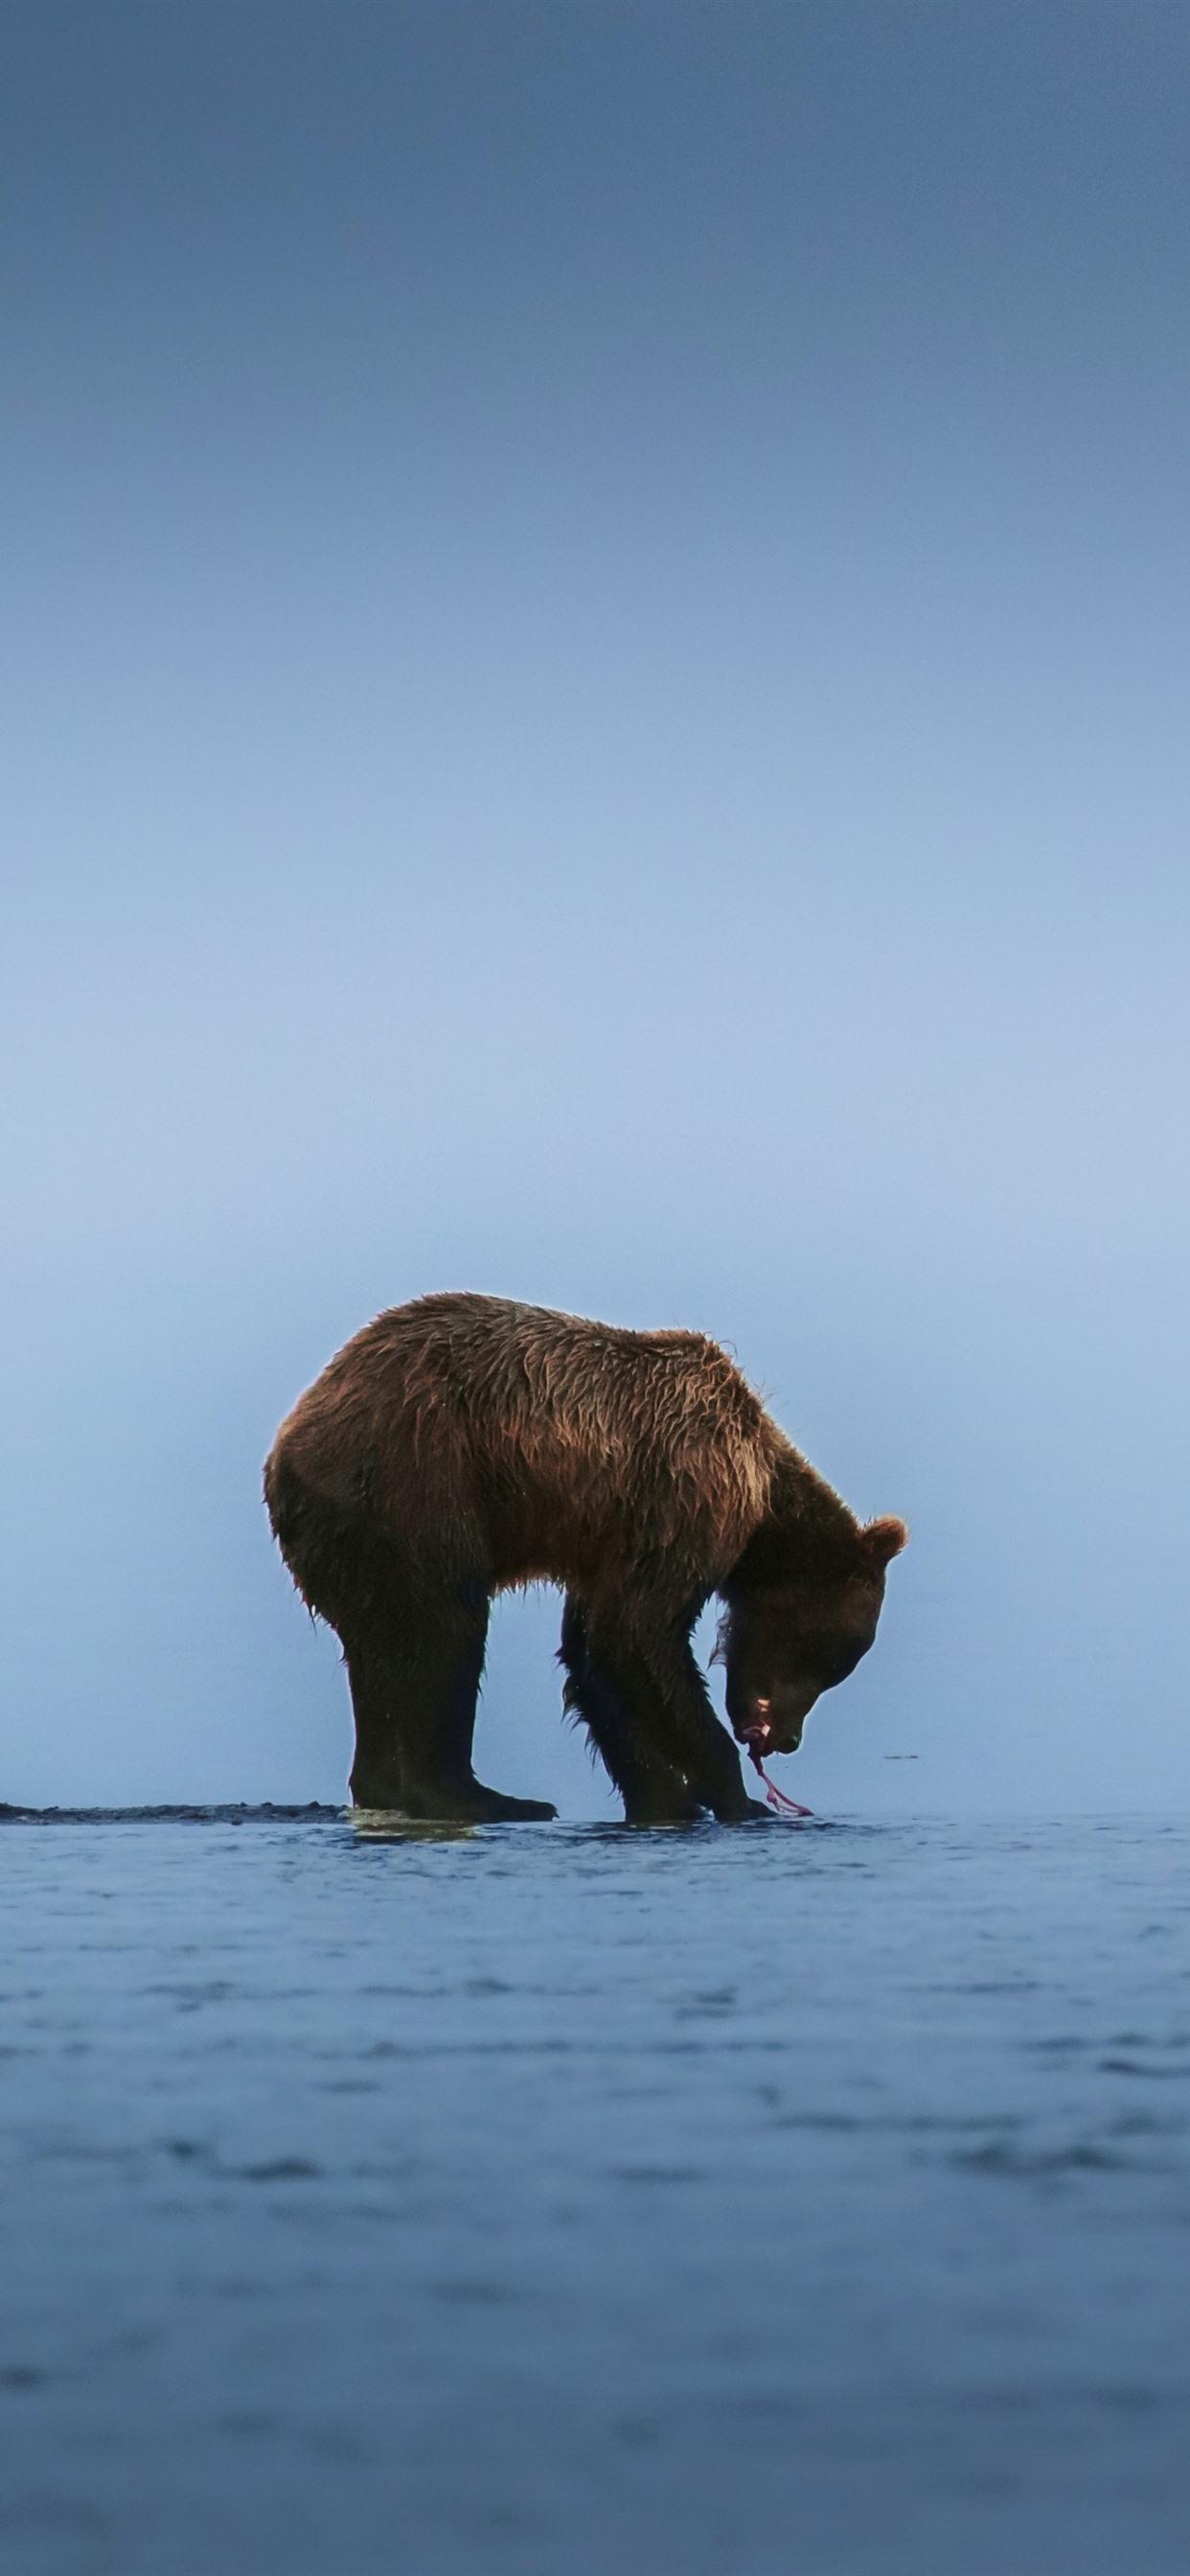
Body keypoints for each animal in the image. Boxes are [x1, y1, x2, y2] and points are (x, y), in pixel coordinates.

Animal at [263, 1292, 907, 1824]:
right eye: (829, 1658)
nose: (787, 1741)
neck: (764, 1504)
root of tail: (286, 1447)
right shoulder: (685, 1492)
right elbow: (639, 1633)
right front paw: (738, 1799)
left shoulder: (607, 1539)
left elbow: (594, 1653)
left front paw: (665, 1798)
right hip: (416, 1483)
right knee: (444, 1631)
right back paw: (480, 1796)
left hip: (359, 1538)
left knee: (379, 1653)